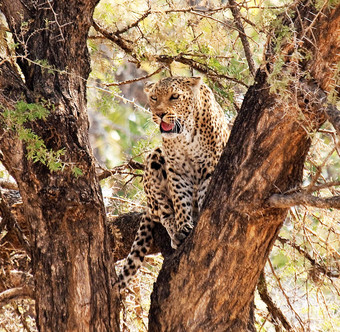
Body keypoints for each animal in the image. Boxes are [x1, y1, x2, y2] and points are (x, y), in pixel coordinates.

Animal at [118, 76, 230, 288]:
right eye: (154, 98)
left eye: (175, 97)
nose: (160, 114)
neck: (185, 136)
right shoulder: (176, 170)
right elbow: (179, 200)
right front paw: (184, 226)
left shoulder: (209, 167)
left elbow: (204, 194)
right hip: (154, 158)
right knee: (162, 212)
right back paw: (175, 231)